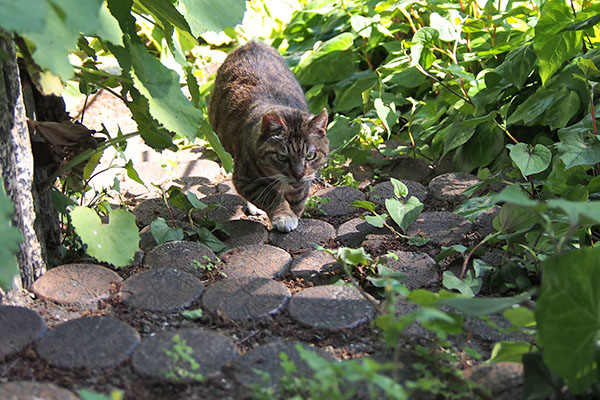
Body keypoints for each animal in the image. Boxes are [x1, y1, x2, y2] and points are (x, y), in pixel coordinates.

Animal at [210, 41, 328, 233]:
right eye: (282, 157)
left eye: (310, 156)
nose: (298, 174)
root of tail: (252, 43)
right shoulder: (246, 179)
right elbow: (271, 197)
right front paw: (284, 216)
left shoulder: (304, 181)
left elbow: (298, 198)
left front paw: (294, 212)